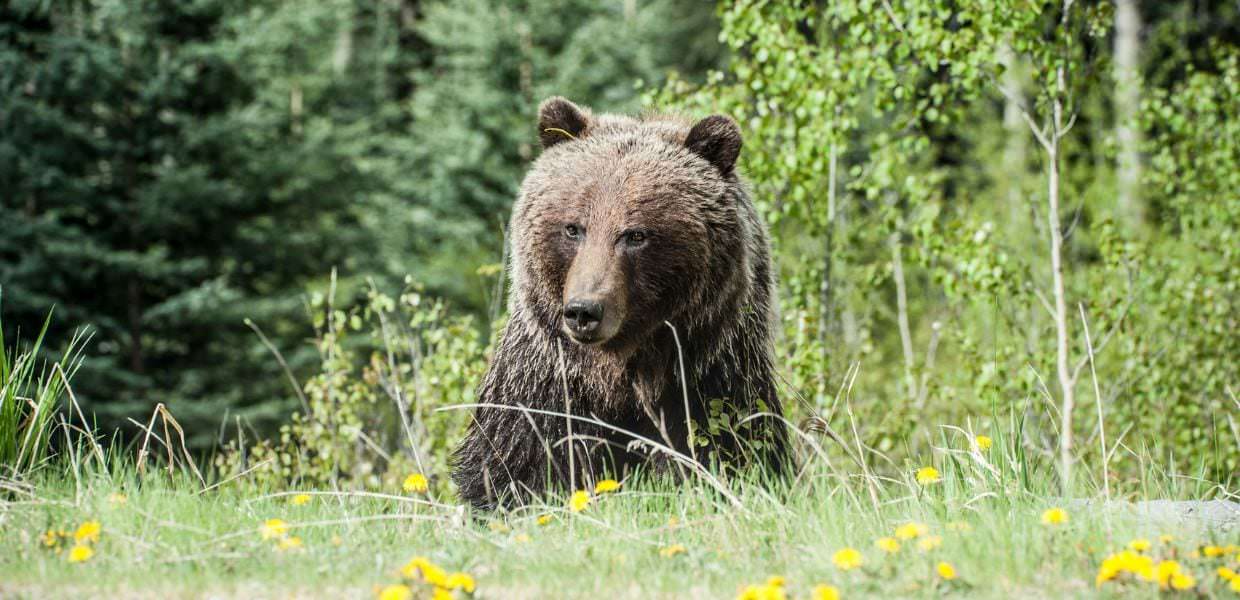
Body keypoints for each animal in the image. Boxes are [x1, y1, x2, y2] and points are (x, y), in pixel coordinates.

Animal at [451, 97, 790, 510]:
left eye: (635, 235)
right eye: (573, 228)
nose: (584, 311)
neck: (620, 375)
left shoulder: (710, 380)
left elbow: (730, 451)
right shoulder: (545, 386)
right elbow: (514, 466)